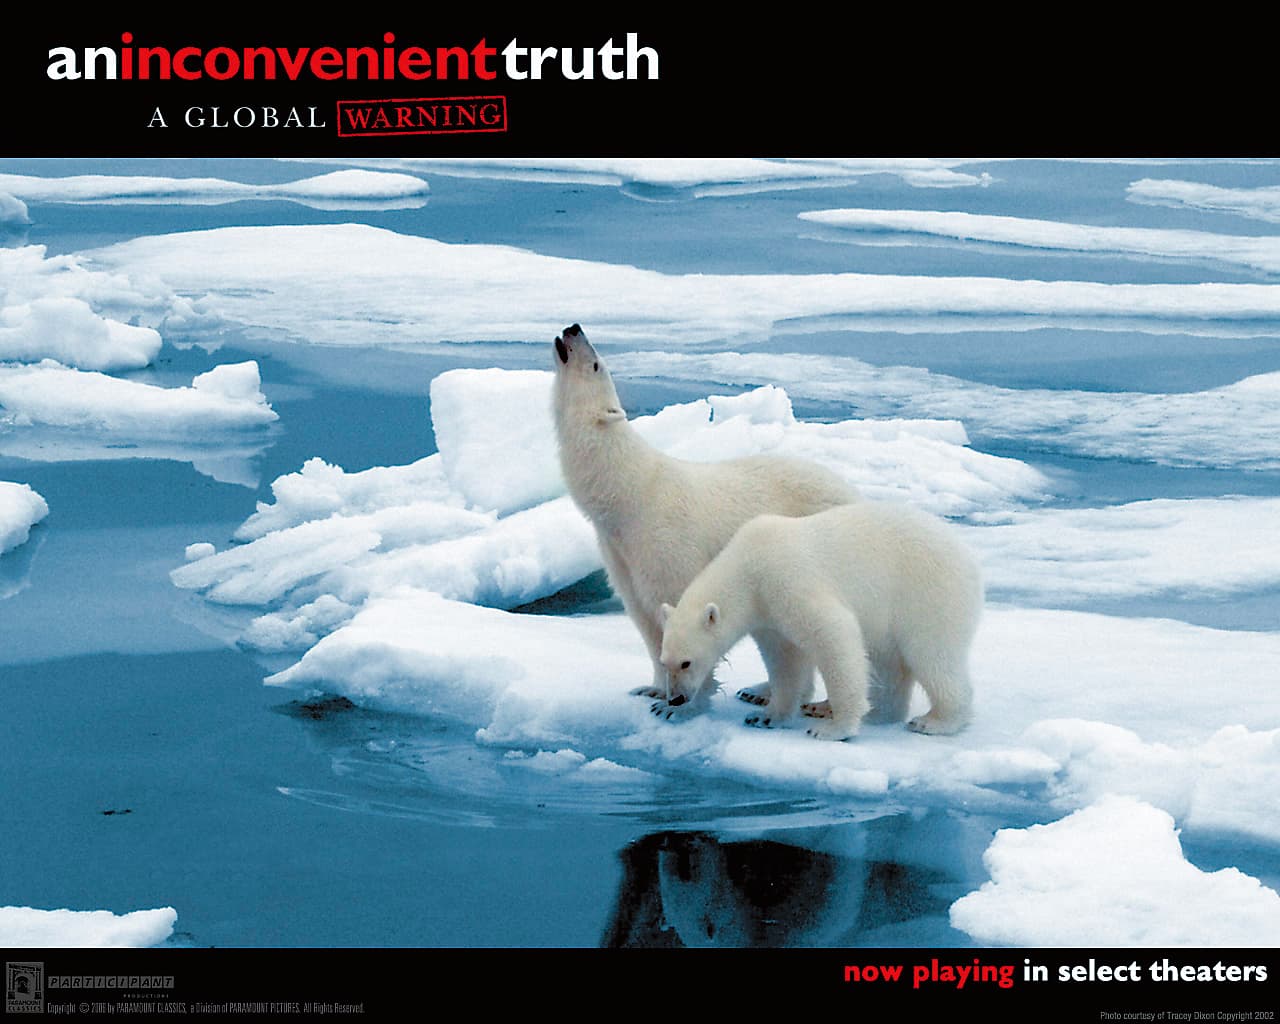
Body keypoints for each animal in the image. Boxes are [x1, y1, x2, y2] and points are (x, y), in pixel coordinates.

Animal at [552, 323, 860, 714]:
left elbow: (685, 609)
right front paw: (652, 689)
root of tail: (854, 493)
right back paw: (761, 691)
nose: (573, 328)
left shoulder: (665, 542)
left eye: (596, 364)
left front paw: (682, 702)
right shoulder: (620, 554)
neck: (630, 491)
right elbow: (645, 619)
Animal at [658, 500, 983, 740]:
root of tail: (968, 557)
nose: (676, 699)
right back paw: (879, 712)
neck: (747, 568)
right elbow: (785, 659)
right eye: (664, 662)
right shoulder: (767, 613)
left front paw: (833, 729)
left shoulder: (787, 580)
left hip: (927, 592)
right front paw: (766, 716)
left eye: (686, 662)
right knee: (888, 663)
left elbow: (834, 633)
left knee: (932, 653)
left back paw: (934, 721)